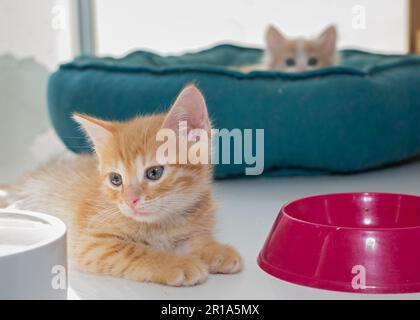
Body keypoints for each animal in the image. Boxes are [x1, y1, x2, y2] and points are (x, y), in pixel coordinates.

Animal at [2, 84, 243, 284]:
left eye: (154, 173)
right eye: (115, 179)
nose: (130, 201)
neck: (163, 223)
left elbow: (194, 239)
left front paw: (215, 250)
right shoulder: (91, 243)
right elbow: (135, 251)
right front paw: (177, 263)